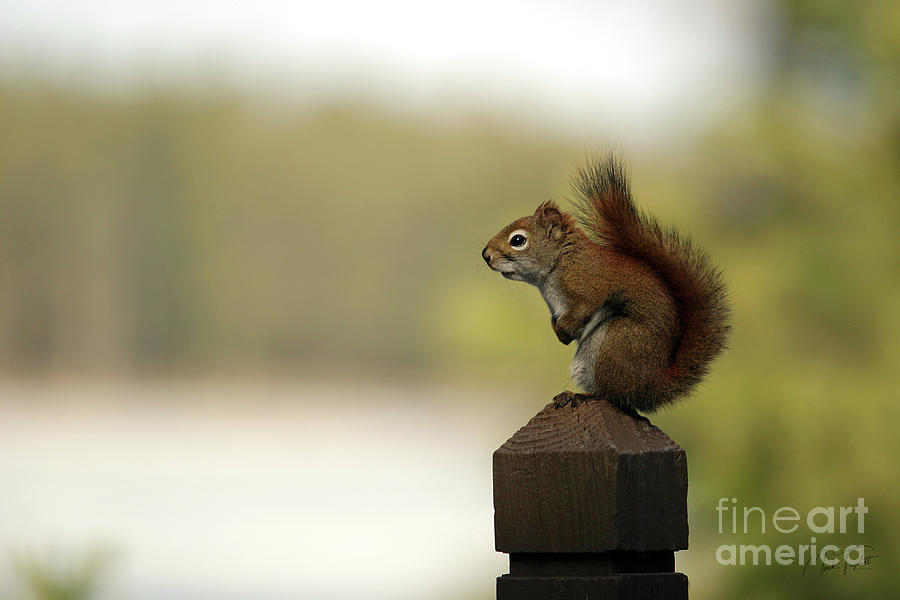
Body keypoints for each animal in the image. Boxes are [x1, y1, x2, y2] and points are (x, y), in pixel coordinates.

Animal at [481, 154, 730, 414]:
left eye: (518, 240)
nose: (485, 255)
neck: (562, 261)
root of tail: (651, 388)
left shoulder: (587, 288)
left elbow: (582, 309)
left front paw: (563, 331)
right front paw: (559, 331)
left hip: (612, 344)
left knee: (615, 397)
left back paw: (582, 396)